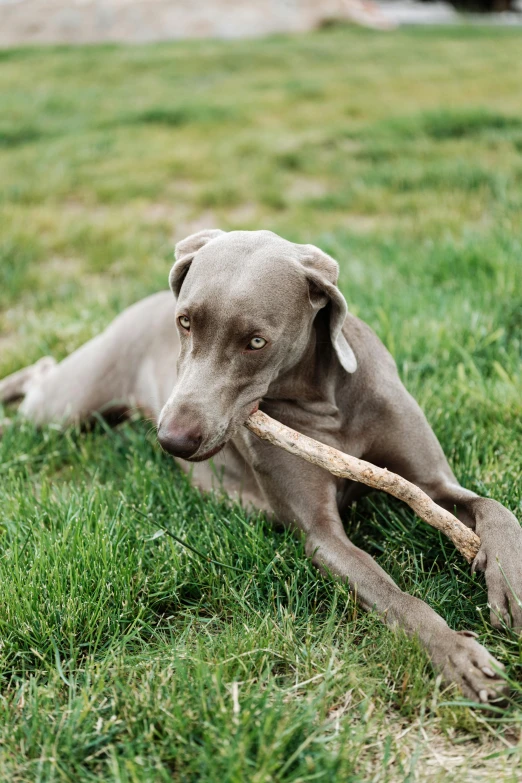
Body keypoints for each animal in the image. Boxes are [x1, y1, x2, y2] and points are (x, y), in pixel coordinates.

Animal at [1, 230, 520, 700]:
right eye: (185, 322)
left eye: (255, 341)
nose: (171, 439)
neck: (325, 401)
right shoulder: (322, 535)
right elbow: (395, 595)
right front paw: (457, 653)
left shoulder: (432, 483)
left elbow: (494, 508)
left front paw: (510, 585)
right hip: (64, 410)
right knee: (40, 374)